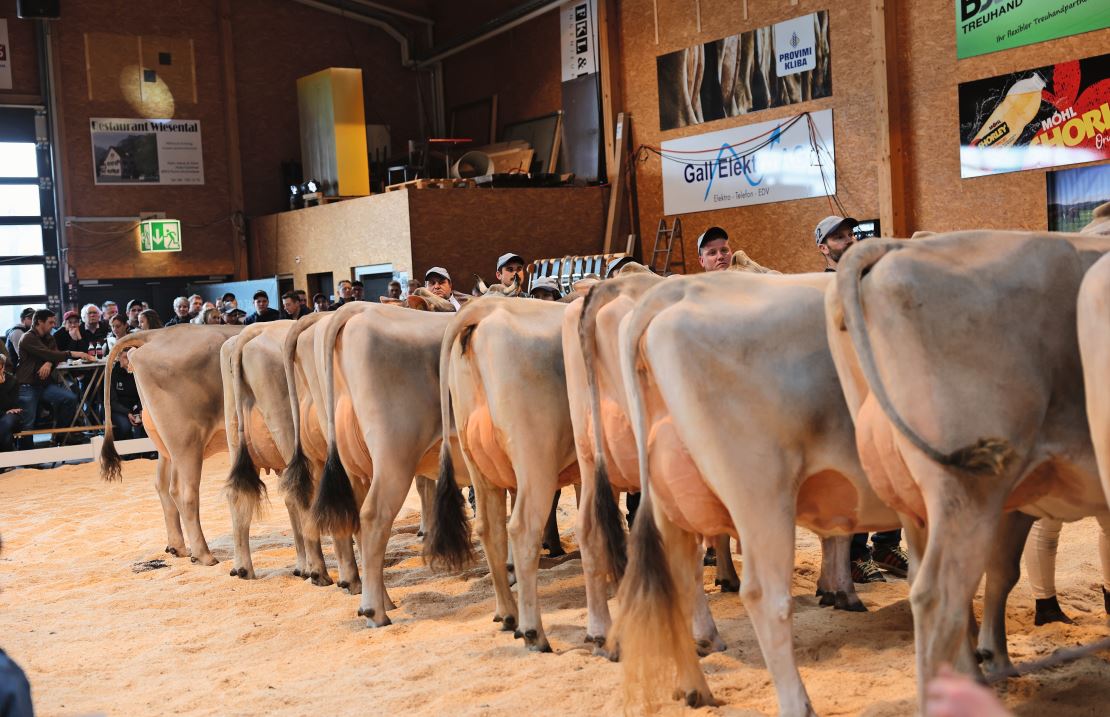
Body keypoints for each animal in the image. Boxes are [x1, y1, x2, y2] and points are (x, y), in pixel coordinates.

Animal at [99, 326, 243, 568]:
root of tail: (154, 334)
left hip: (166, 444)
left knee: (164, 486)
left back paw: (178, 547)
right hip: (186, 440)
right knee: (185, 493)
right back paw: (204, 555)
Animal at [612, 273, 896, 714]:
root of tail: (679, 288)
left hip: (668, 499)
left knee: (679, 584)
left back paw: (695, 688)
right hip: (760, 488)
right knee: (765, 595)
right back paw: (799, 703)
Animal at [825, 228, 1110, 705]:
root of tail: (896, 245)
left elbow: (1002, 572)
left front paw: (995, 656)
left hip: (918, 498)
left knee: (943, 581)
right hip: (968, 490)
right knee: (938, 595)